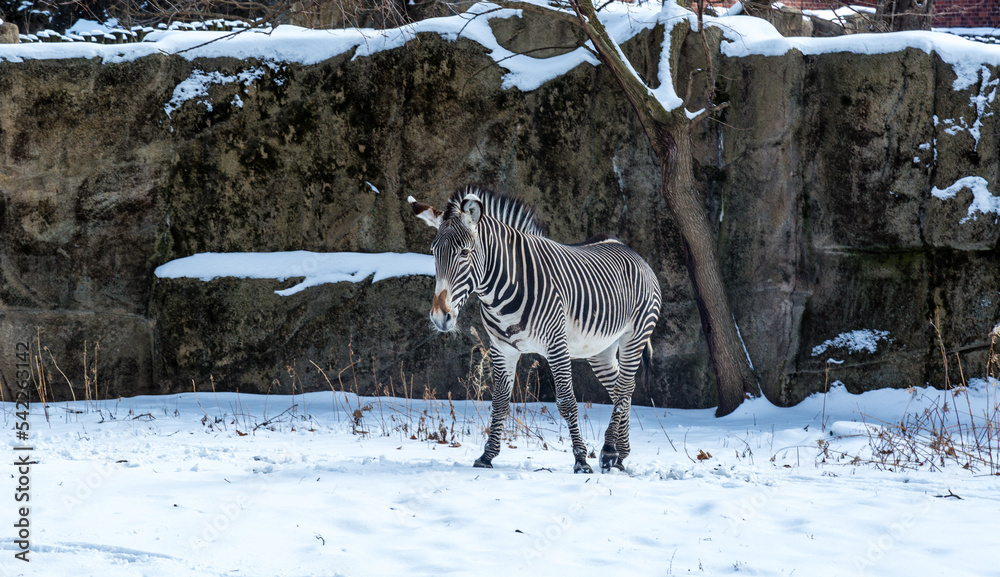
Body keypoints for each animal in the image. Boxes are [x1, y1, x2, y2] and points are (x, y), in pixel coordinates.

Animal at [408, 185, 661, 473]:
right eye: (434, 252)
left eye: (464, 253)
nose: (440, 317)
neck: (502, 289)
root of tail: (628, 248)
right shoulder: (501, 349)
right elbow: (499, 401)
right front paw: (487, 456)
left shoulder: (556, 345)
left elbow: (567, 401)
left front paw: (581, 461)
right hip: (601, 349)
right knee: (621, 388)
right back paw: (620, 454)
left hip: (634, 336)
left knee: (623, 388)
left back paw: (608, 451)